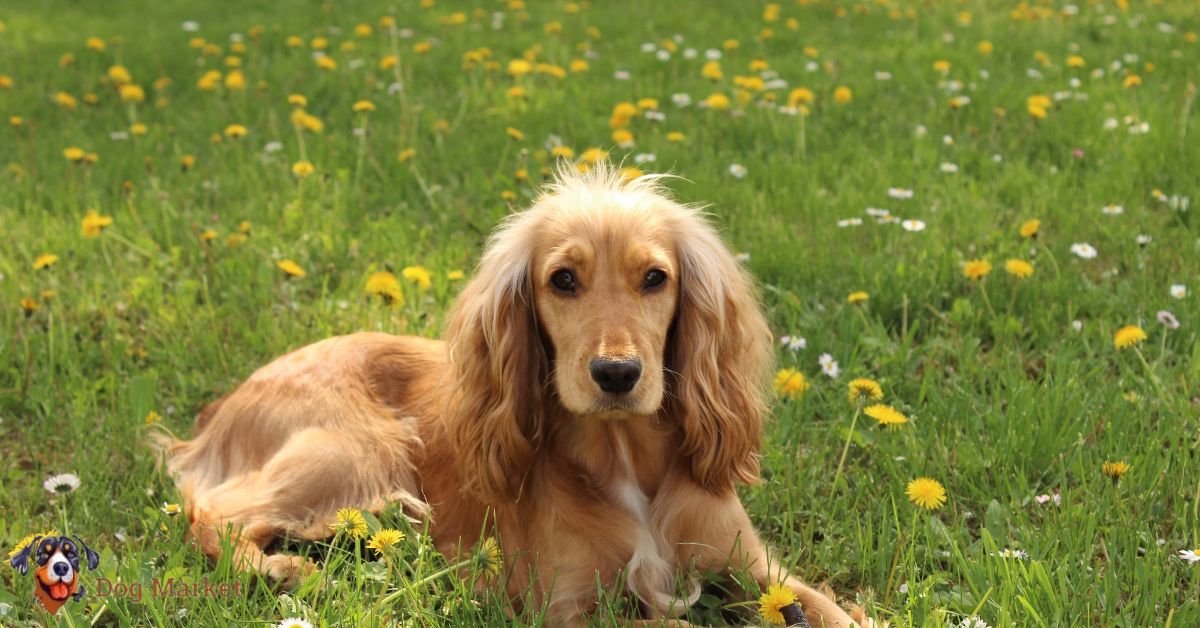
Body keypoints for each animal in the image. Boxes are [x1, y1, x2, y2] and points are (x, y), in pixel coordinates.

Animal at [157, 164, 864, 624]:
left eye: (655, 278)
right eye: (563, 279)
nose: (616, 374)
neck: (626, 458)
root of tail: (222, 409)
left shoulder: (754, 566)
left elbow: (833, 611)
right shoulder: (565, 607)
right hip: (356, 449)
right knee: (213, 512)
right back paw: (282, 568)